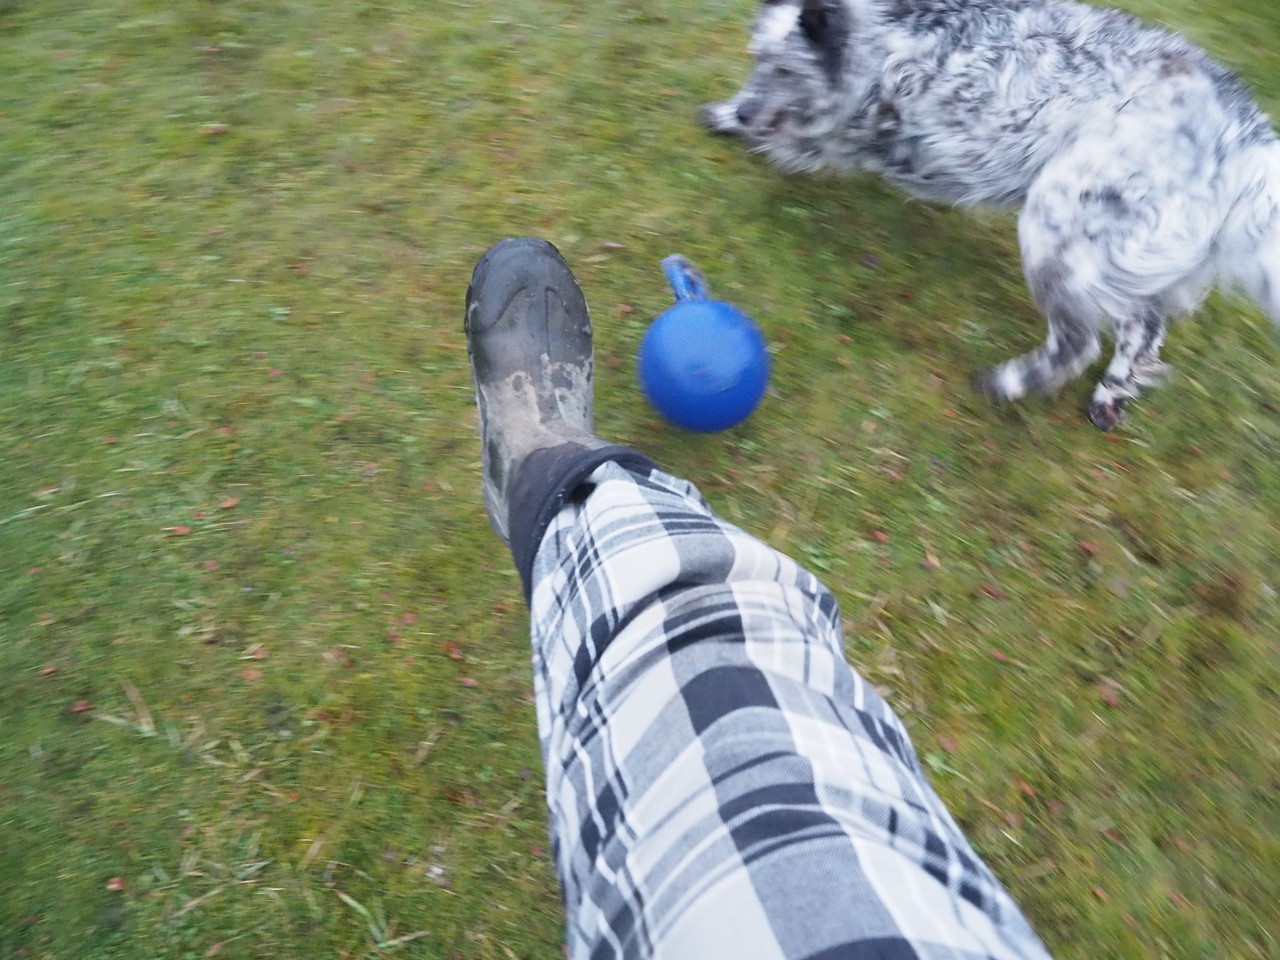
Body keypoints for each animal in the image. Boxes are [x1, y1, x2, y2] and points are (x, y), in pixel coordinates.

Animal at [703, 0, 1280, 428]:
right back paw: (1108, 395)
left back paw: (1008, 383)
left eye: (784, 69)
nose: (749, 111)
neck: (879, 32)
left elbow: (799, 139)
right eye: (757, 57)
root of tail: (1240, 135)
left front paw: (733, 120)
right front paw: (730, 114)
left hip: (1056, 223)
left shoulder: (849, 129)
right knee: (1144, 328)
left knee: (1081, 341)